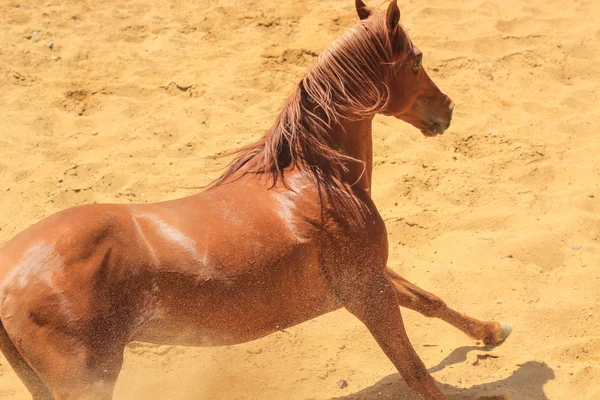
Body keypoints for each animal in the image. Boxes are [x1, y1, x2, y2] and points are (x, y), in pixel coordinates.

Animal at [0, 1, 510, 398]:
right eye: (418, 60)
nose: (447, 110)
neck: (318, 176)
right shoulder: (366, 291)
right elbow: (415, 370)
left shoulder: (369, 278)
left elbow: (429, 300)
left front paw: (492, 331)